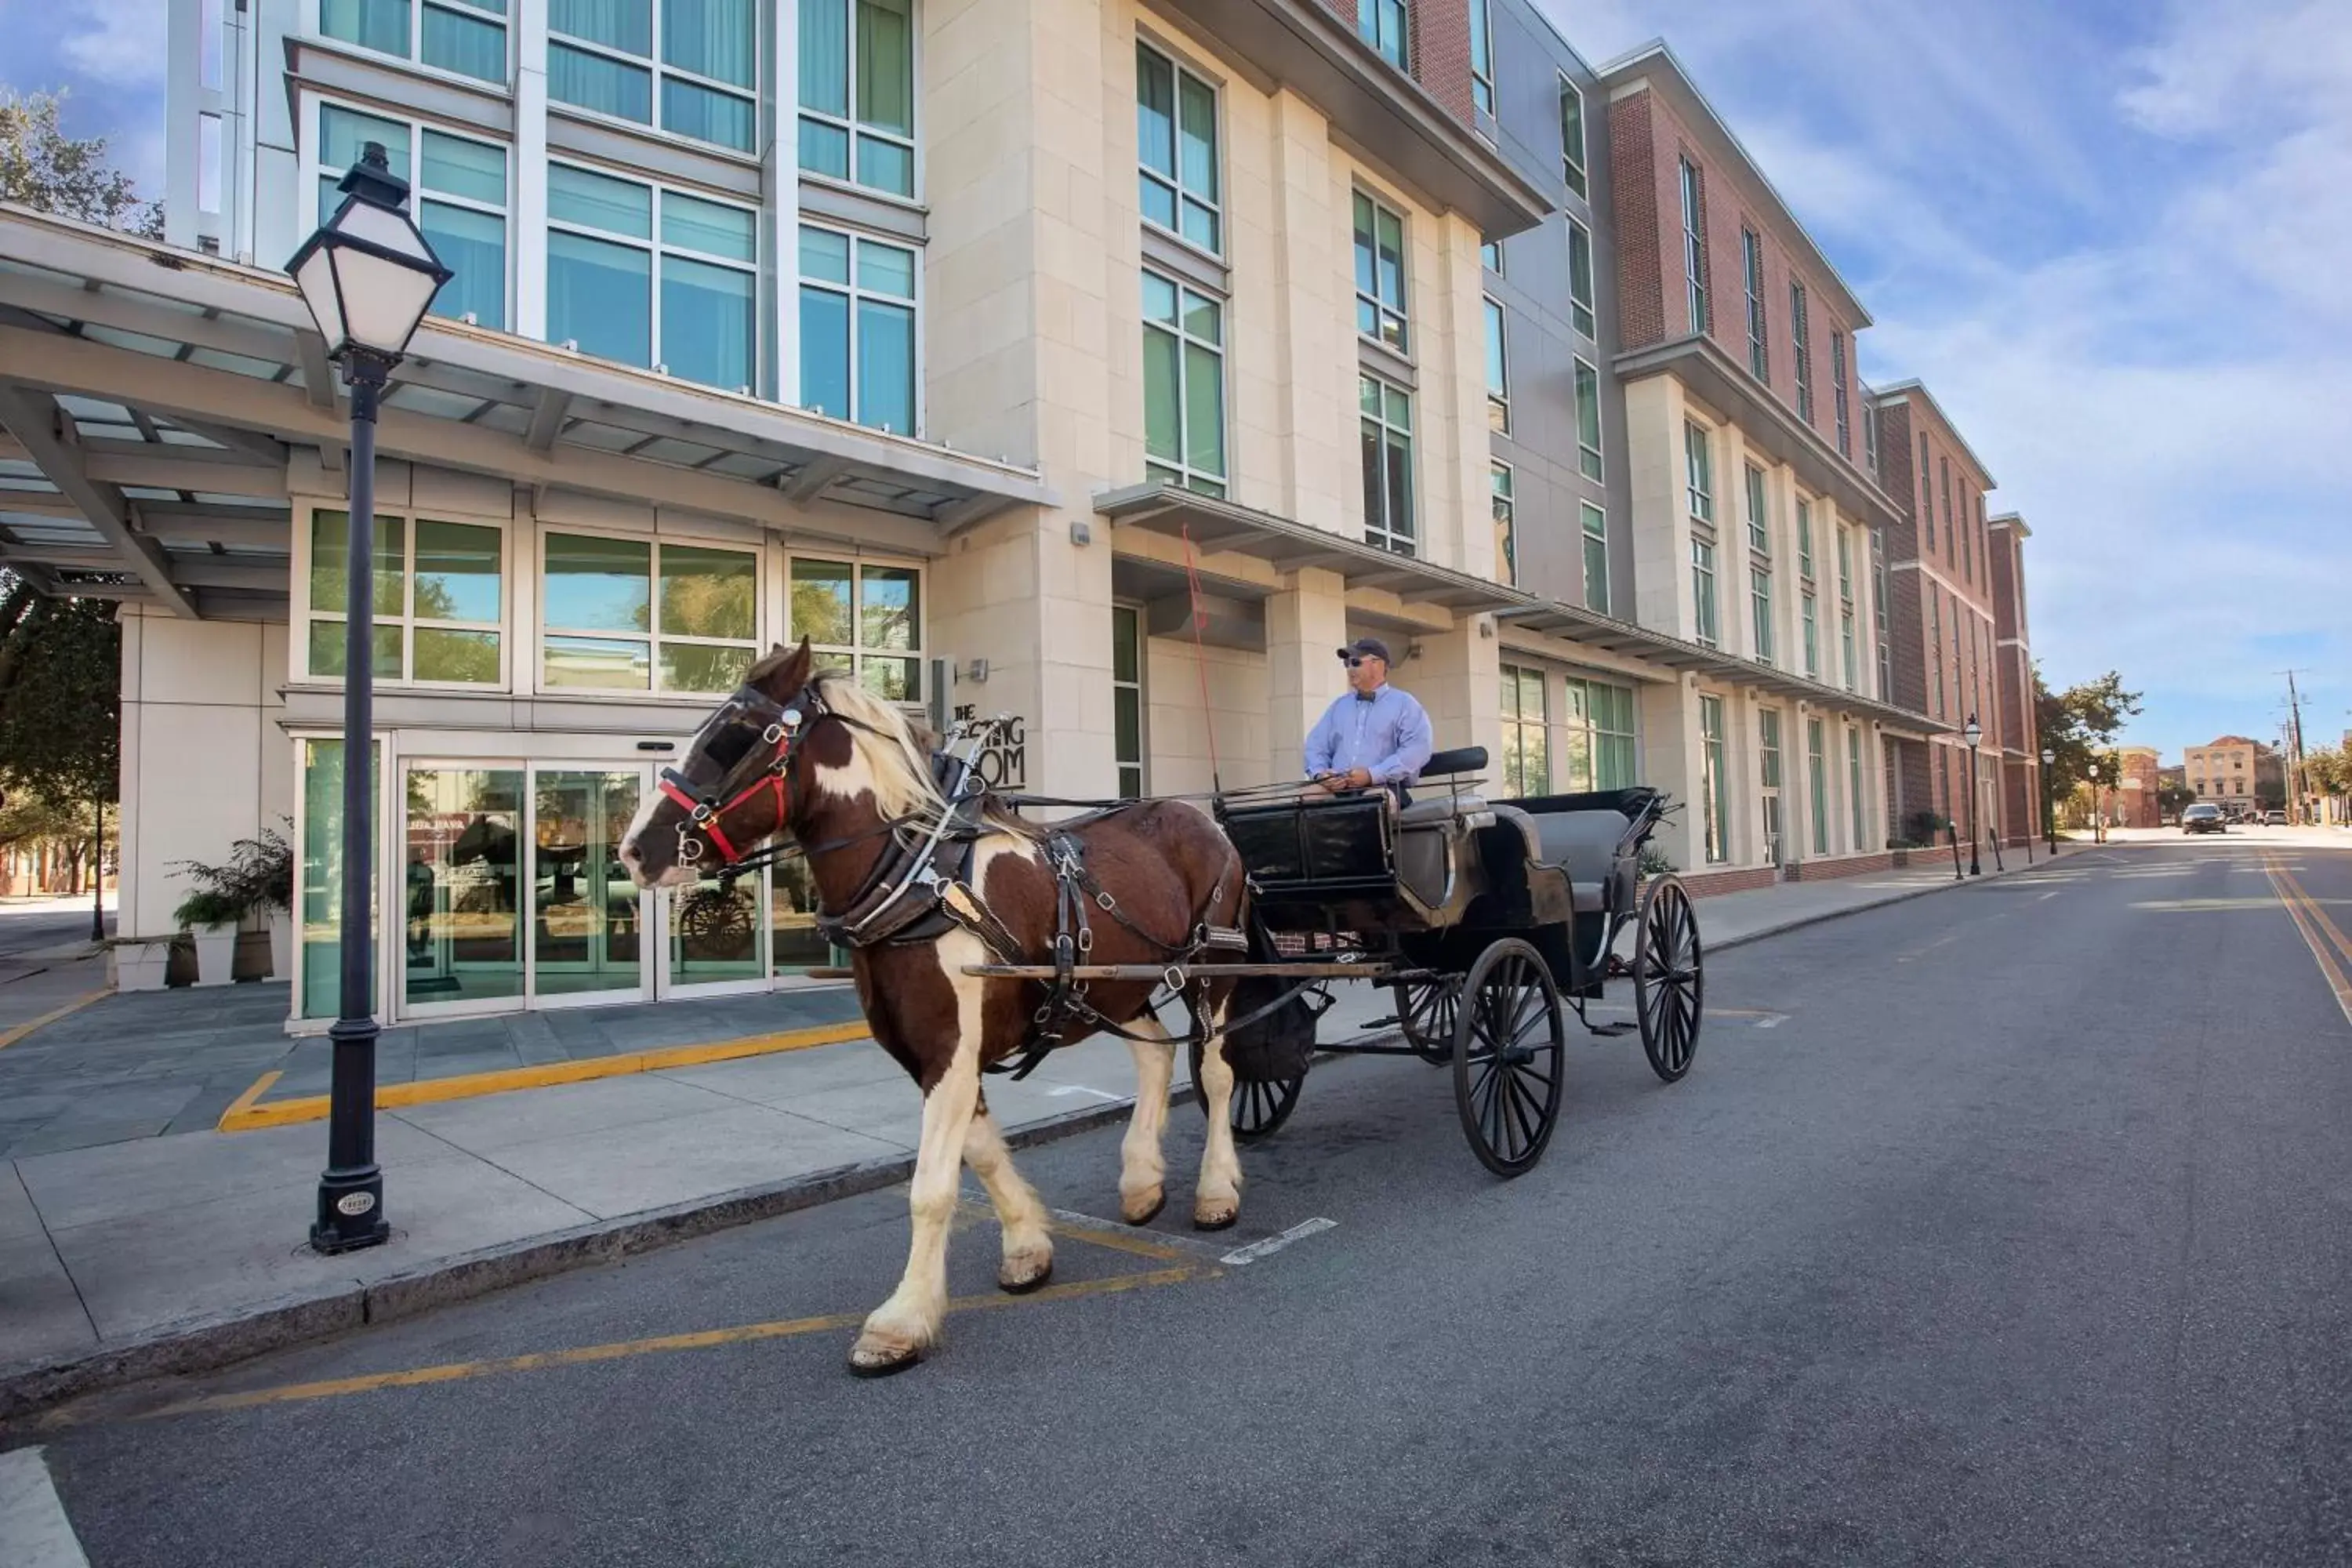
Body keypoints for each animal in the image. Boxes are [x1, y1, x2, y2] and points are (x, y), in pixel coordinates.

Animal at [621, 639, 1251, 1373]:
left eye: (735, 737)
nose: (635, 849)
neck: (921, 879)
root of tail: (1201, 818)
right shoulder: (932, 1053)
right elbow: (981, 1154)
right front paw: (1027, 1247)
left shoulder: (951, 1045)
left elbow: (931, 1188)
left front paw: (901, 1321)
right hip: (1114, 986)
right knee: (1154, 1062)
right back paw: (1143, 1182)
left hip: (1214, 972)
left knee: (1216, 1073)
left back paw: (1216, 1190)